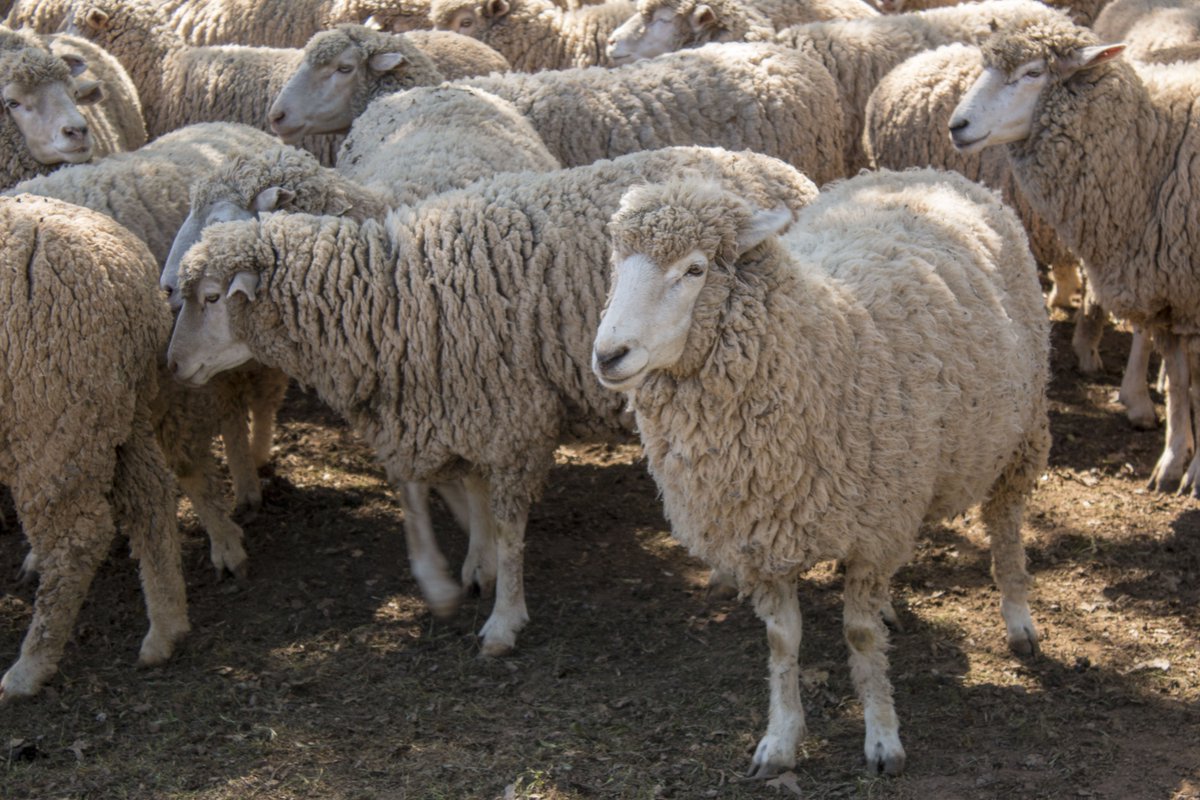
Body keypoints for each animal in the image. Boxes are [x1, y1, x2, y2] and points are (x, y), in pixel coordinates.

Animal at [0, 194, 188, 700]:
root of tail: (125, 278)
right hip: (122, 411)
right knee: (151, 499)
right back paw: (166, 629)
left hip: (51, 421)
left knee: (76, 540)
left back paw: (30, 667)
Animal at [165, 146, 819, 655]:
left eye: (212, 296)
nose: (170, 362)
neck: (394, 287)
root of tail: (786, 173)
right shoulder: (435, 408)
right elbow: (427, 494)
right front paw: (448, 581)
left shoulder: (510, 417)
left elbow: (503, 525)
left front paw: (501, 616)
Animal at [591, 169, 1048, 776]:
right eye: (617, 264)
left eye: (695, 269)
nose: (608, 355)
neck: (816, 349)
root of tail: (924, 172)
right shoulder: (761, 537)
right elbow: (783, 643)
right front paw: (781, 740)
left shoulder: (875, 530)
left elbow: (859, 635)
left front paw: (882, 739)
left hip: (1020, 432)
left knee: (1005, 520)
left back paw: (1018, 619)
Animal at [949, 17, 1200, 494]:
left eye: (1032, 73)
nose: (957, 125)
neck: (1151, 147)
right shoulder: (1168, 295)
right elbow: (1181, 383)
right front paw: (1172, 463)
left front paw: (1194, 475)